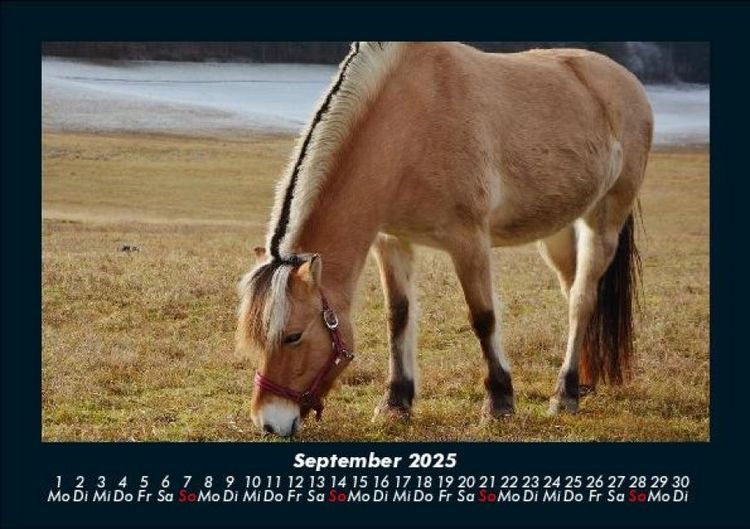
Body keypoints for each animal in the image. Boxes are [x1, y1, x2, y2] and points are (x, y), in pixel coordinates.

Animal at [236, 42, 653, 437]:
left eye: (293, 336)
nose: (270, 422)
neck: (411, 120)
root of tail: (627, 83)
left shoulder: (469, 242)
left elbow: (483, 317)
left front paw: (499, 404)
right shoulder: (391, 241)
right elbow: (398, 316)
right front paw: (395, 403)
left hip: (603, 220)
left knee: (582, 300)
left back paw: (565, 394)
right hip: (558, 232)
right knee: (574, 293)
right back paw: (584, 383)